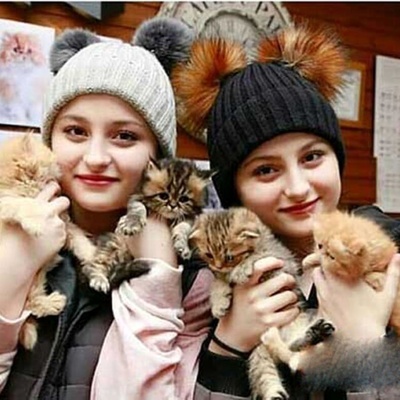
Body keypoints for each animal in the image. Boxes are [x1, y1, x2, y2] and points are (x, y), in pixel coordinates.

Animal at [0, 133, 97, 350]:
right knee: (29, 305)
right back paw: (53, 303)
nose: (59, 164)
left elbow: (78, 238)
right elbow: (23, 204)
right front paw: (36, 223)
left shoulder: (66, 223)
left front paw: (92, 254)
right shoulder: (6, 202)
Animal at [83, 158, 214, 292]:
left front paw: (182, 245)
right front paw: (131, 224)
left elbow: (183, 228)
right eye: (163, 196)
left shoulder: (191, 217)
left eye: (183, 199)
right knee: (92, 265)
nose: (172, 206)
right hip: (114, 244)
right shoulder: (136, 197)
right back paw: (98, 279)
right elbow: (138, 208)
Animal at [189, 207, 335, 400]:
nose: (218, 266)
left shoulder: (279, 261)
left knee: (294, 352)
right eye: (209, 255)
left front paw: (242, 269)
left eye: (229, 257)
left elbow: (257, 257)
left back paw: (314, 333)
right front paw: (219, 301)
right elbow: (218, 282)